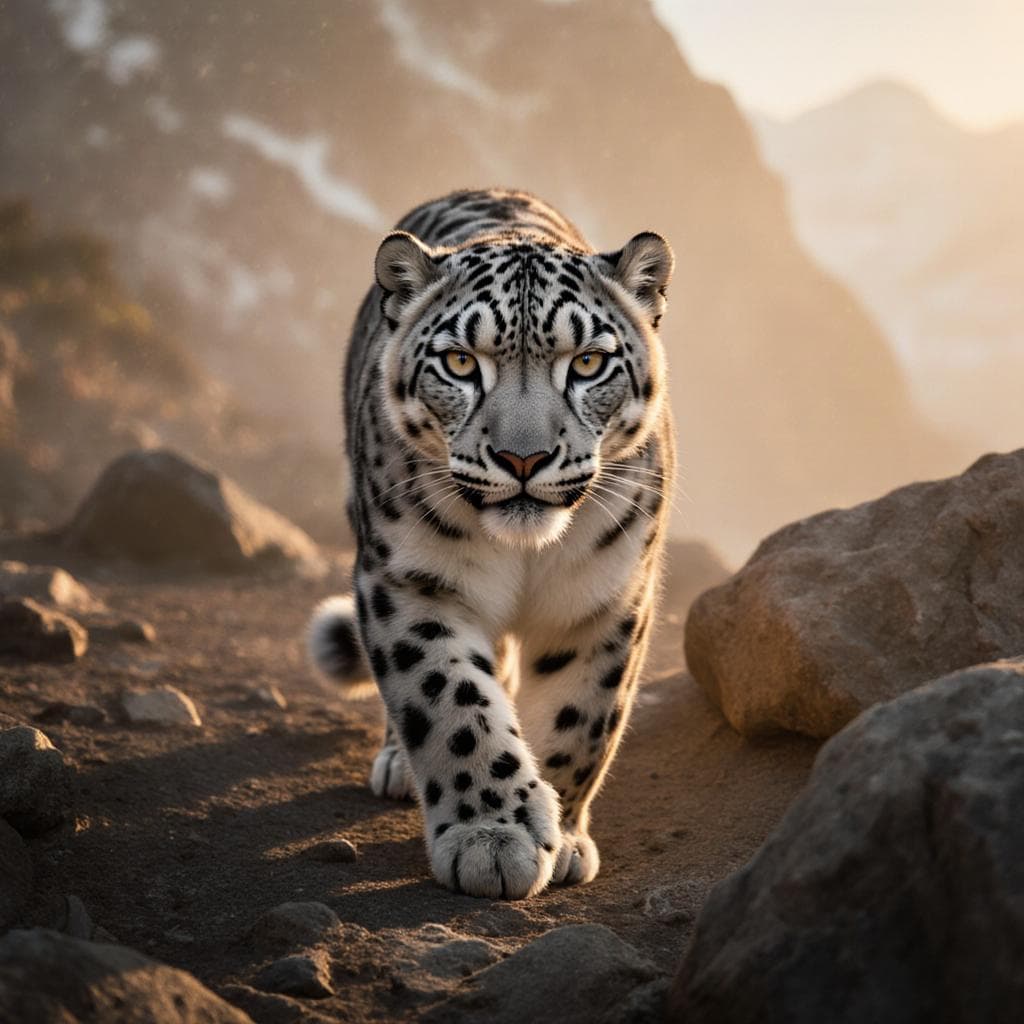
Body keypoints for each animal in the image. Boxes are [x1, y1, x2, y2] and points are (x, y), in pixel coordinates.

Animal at [308, 188, 675, 899]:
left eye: (588, 363)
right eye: (459, 362)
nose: (522, 458)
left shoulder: (607, 595)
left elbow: (582, 716)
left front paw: (561, 835)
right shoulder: (411, 582)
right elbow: (451, 703)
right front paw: (493, 839)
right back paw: (398, 764)